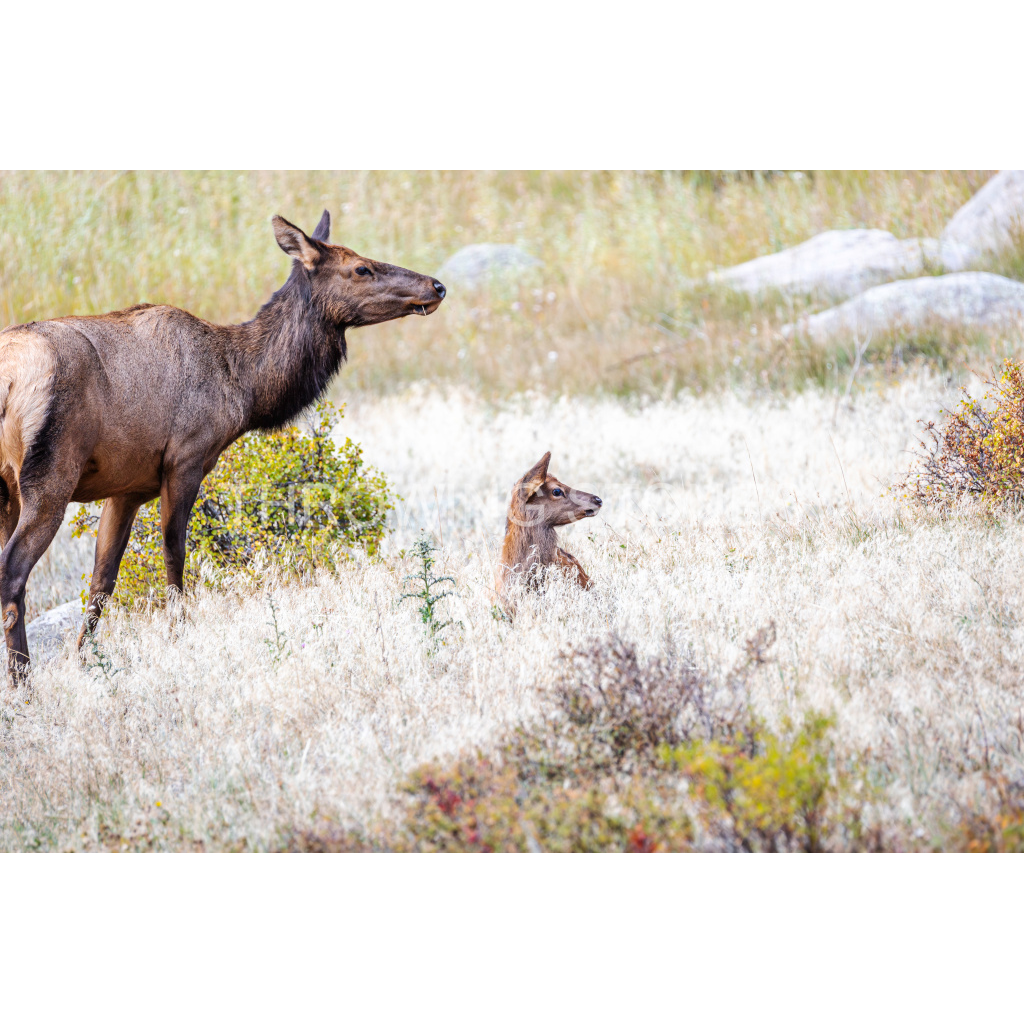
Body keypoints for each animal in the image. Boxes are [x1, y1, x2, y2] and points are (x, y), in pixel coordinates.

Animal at [0, 210, 445, 680]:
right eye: (361, 268)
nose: (436, 286)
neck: (243, 390)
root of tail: (9, 381)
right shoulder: (186, 459)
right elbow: (175, 554)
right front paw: (179, 636)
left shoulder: (128, 488)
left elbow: (103, 581)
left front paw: (86, 660)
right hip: (50, 474)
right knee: (12, 572)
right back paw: (23, 680)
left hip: (8, 487)